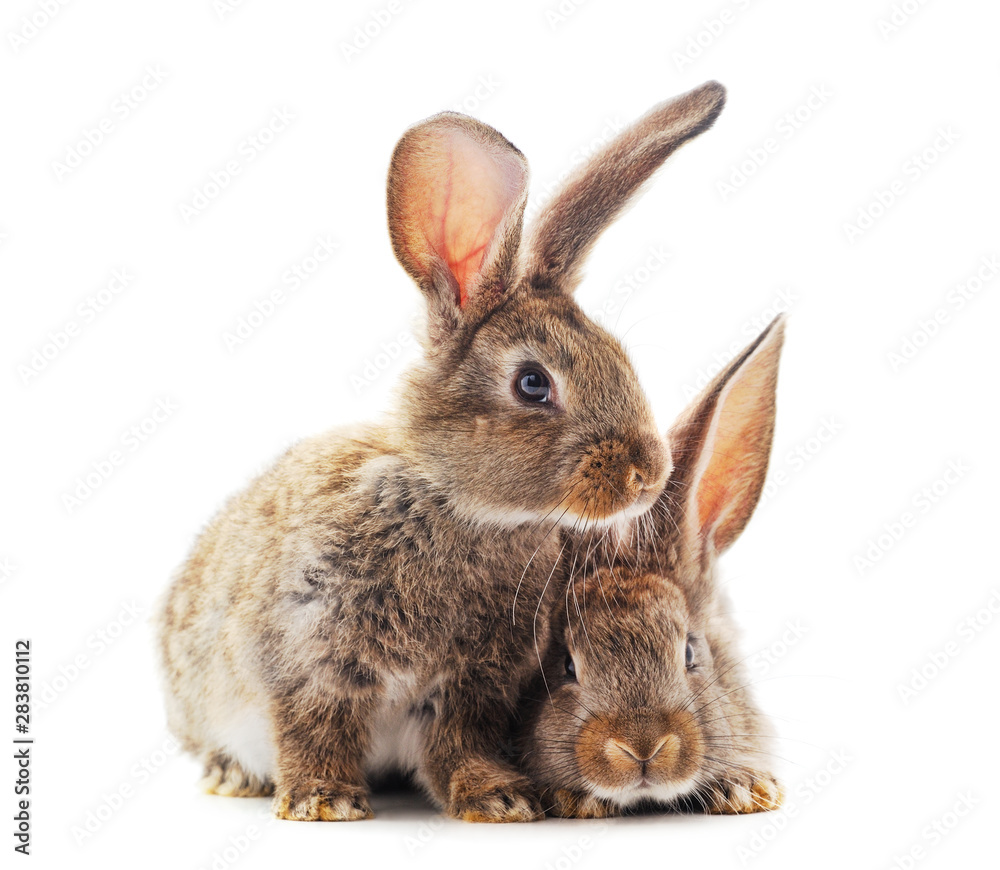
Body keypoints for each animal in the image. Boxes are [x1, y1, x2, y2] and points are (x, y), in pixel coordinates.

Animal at [154, 81, 727, 823]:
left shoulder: (471, 686)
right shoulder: (308, 658)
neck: (460, 506)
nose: (648, 474)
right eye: (533, 383)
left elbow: (457, 744)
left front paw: (500, 799)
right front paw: (325, 803)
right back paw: (232, 775)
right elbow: (312, 728)